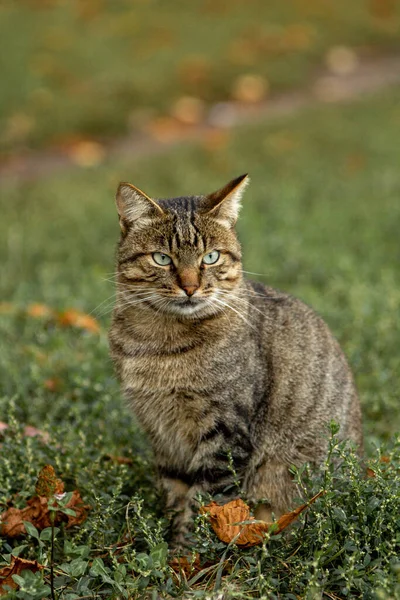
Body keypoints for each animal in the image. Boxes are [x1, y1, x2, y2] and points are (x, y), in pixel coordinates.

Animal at [108, 173, 362, 544]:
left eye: (211, 257)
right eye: (162, 258)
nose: (190, 286)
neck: (158, 341)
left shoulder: (225, 431)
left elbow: (206, 505)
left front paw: (186, 551)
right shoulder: (162, 434)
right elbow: (176, 493)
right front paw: (171, 545)